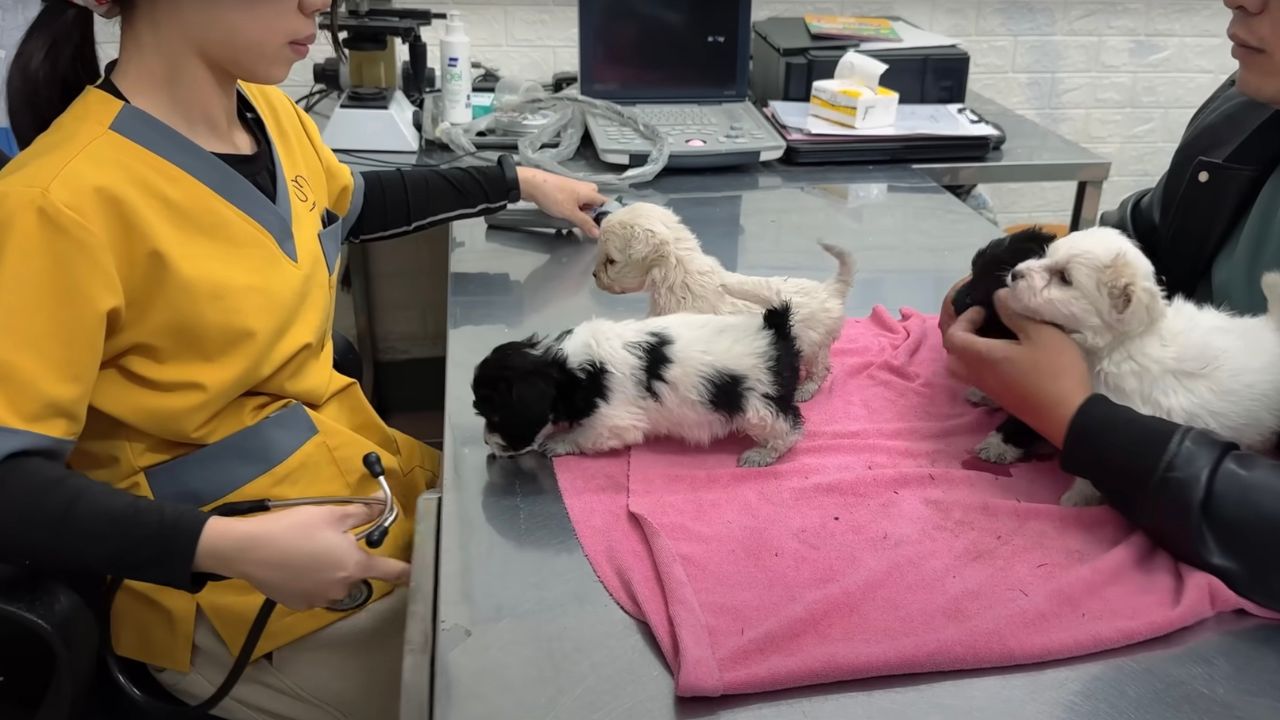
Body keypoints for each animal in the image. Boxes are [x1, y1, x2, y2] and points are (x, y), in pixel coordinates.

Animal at [473, 299, 798, 468]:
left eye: (497, 417)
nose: (487, 442)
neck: (566, 369)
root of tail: (773, 330)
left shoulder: (613, 421)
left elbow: (584, 434)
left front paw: (559, 441)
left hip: (759, 404)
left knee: (789, 429)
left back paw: (761, 454)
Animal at [593, 202, 855, 399]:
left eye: (611, 260)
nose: (594, 275)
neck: (678, 272)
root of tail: (829, 289)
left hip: (814, 346)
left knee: (821, 369)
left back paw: (805, 389)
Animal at [1003, 228, 1280, 504]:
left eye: (1065, 278)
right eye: (1045, 255)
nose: (1015, 273)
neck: (1118, 344)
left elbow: (1090, 472)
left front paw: (1075, 500)